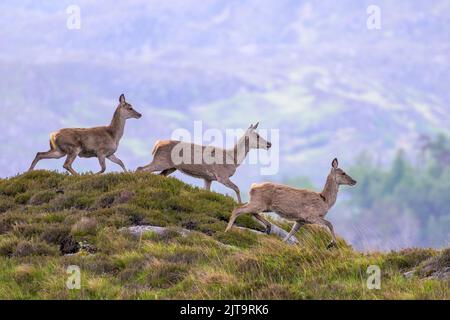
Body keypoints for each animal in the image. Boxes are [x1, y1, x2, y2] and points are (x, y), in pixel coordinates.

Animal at [136, 122, 270, 202]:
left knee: (156, 174)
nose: (270, 144)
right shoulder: (221, 175)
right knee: (141, 168)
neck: (233, 158)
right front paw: (241, 204)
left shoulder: (208, 178)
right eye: (257, 135)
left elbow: (206, 191)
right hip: (161, 161)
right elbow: (237, 188)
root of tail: (156, 144)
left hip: (170, 168)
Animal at [224, 158, 356, 248]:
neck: (324, 200)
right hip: (259, 203)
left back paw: (268, 227)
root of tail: (253, 187)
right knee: (238, 209)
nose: (354, 181)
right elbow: (330, 224)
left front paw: (283, 242)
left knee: (251, 212)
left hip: (264, 206)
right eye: (343, 173)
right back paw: (227, 230)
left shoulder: (300, 220)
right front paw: (331, 244)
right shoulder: (311, 215)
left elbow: (291, 232)